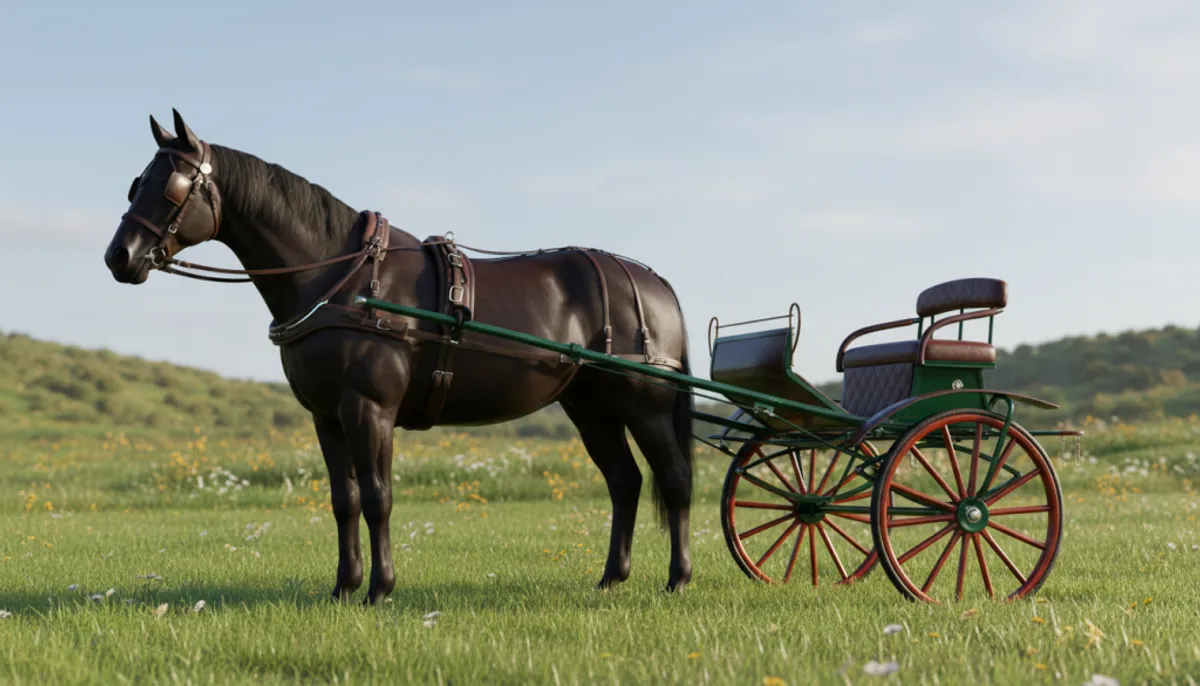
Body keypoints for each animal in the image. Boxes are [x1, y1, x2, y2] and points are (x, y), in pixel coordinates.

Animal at [102, 109, 695, 604]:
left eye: (173, 185)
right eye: (137, 183)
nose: (119, 257)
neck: (339, 277)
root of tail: (653, 281)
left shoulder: (369, 409)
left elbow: (377, 498)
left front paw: (380, 589)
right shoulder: (326, 417)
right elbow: (344, 500)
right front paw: (344, 587)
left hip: (642, 402)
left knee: (673, 480)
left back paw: (678, 578)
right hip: (590, 405)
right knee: (625, 481)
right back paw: (611, 578)